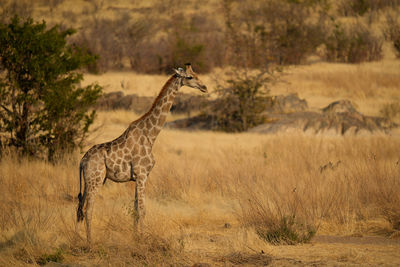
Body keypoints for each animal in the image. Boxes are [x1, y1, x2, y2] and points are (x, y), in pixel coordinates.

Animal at [76, 63, 206, 244]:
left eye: (196, 74)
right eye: (189, 77)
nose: (204, 87)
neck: (151, 135)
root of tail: (82, 161)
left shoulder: (139, 177)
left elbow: (136, 209)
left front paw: (135, 237)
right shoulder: (142, 174)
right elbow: (143, 210)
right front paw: (143, 240)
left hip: (91, 181)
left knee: (79, 208)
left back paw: (74, 238)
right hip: (95, 179)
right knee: (88, 209)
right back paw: (90, 243)